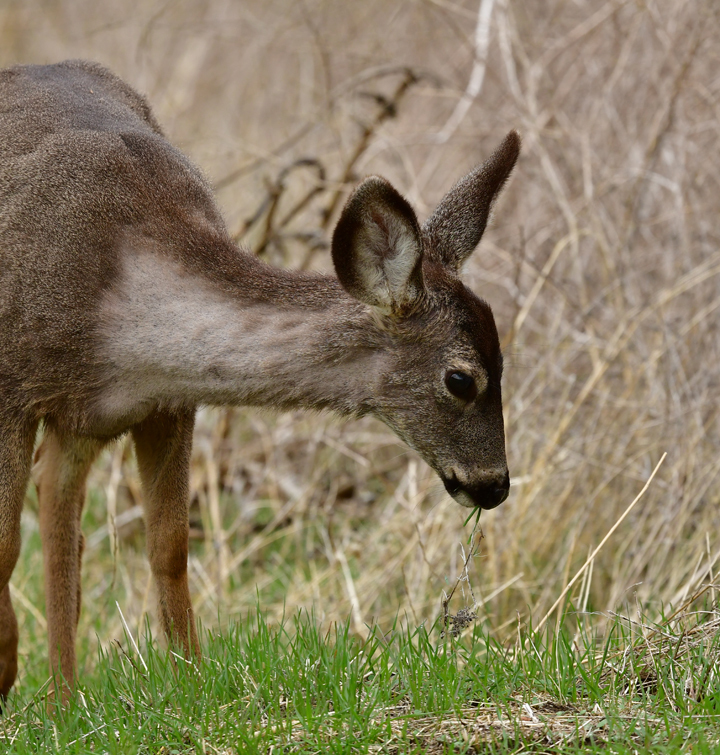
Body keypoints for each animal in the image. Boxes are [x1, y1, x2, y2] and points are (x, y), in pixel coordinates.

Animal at [0, 59, 519, 704]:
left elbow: (170, 547)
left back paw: (64, 703)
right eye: (460, 379)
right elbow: (4, 547)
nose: (494, 484)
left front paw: (190, 687)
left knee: (59, 513)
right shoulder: (12, 389)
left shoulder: (167, 404)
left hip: (82, 425)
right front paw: (6, 667)